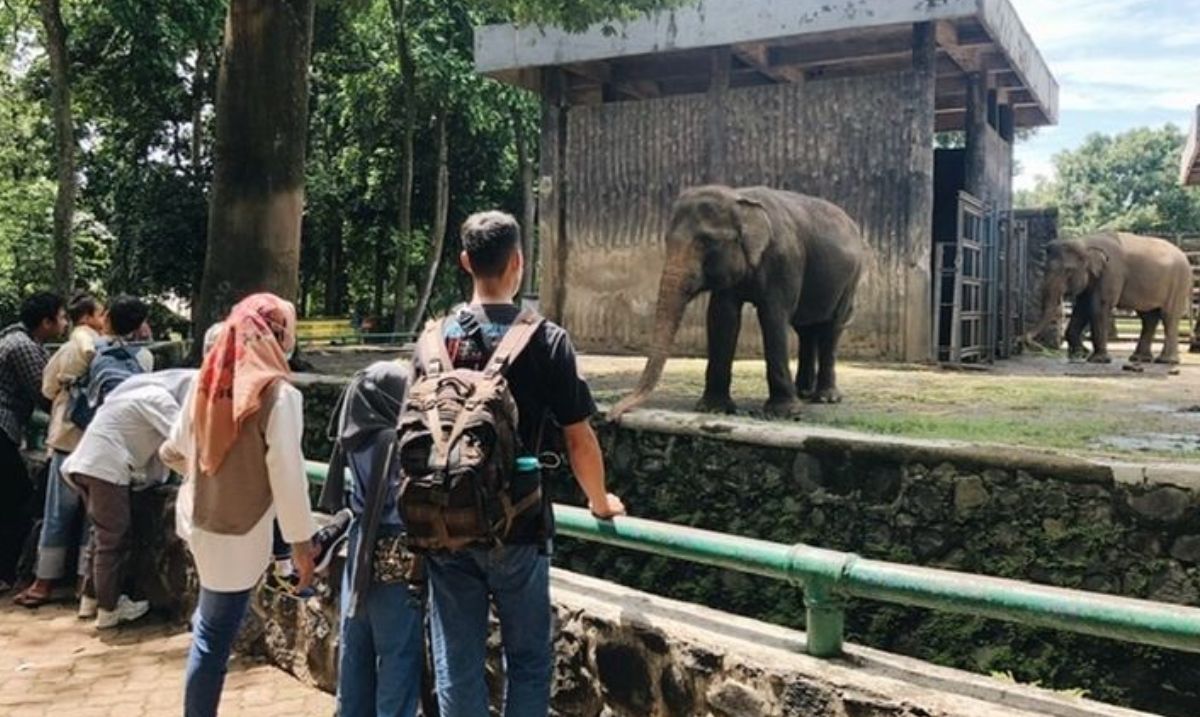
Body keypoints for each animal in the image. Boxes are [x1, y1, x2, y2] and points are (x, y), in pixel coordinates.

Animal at [614, 187, 868, 422]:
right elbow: (722, 316)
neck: (739, 199)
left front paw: (783, 413)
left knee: (831, 328)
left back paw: (825, 398)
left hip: (851, 280)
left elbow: (773, 317)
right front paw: (713, 408)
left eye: (707, 241)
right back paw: (803, 392)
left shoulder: (784, 262)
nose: (611, 416)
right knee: (806, 329)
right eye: (667, 240)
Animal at [1022, 233, 1190, 364]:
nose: (1022, 340)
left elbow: (1098, 307)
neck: (1085, 242)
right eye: (1044, 268)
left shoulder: (1111, 273)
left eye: (1068, 271)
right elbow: (1081, 308)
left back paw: (1166, 361)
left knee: (1169, 316)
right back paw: (1139, 359)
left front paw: (1098, 359)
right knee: (1148, 318)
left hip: (1179, 283)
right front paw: (1079, 354)